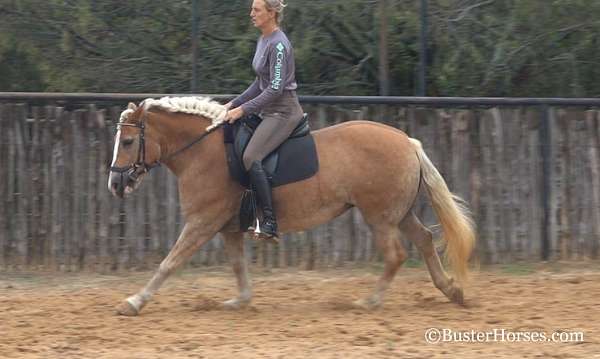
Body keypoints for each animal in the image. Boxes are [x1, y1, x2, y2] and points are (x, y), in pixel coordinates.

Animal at [106, 97, 474, 316]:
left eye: (128, 142)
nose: (115, 185)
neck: (204, 151)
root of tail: (407, 141)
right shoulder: (228, 228)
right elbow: (238, 266)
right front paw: (240, 300)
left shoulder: (202, 222)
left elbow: (168, 263)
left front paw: (133, 302)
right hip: (400, 213)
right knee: (425, 239)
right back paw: (452, 290)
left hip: (380, 217)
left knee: (396, 255)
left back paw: (369, 301)